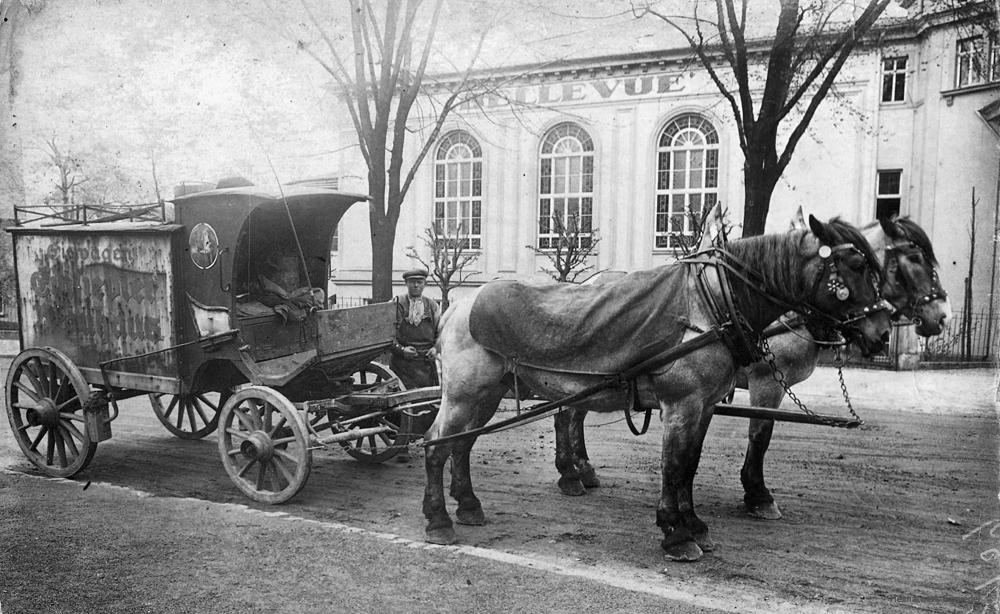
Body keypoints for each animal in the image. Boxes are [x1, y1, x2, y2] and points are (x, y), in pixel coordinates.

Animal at [422, 217, 892, 564]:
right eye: (854, 266)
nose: (883, 332)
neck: (712, 306)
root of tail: (456, 306)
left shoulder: (704, 406)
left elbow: (689, 466)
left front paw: (694, 523)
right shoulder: (686, 403)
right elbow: (676, 465)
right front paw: (676, 532)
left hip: (487, 395)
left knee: (462, 445)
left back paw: (469, 504)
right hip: (465, 395)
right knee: (436, 444)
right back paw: (439, 519)